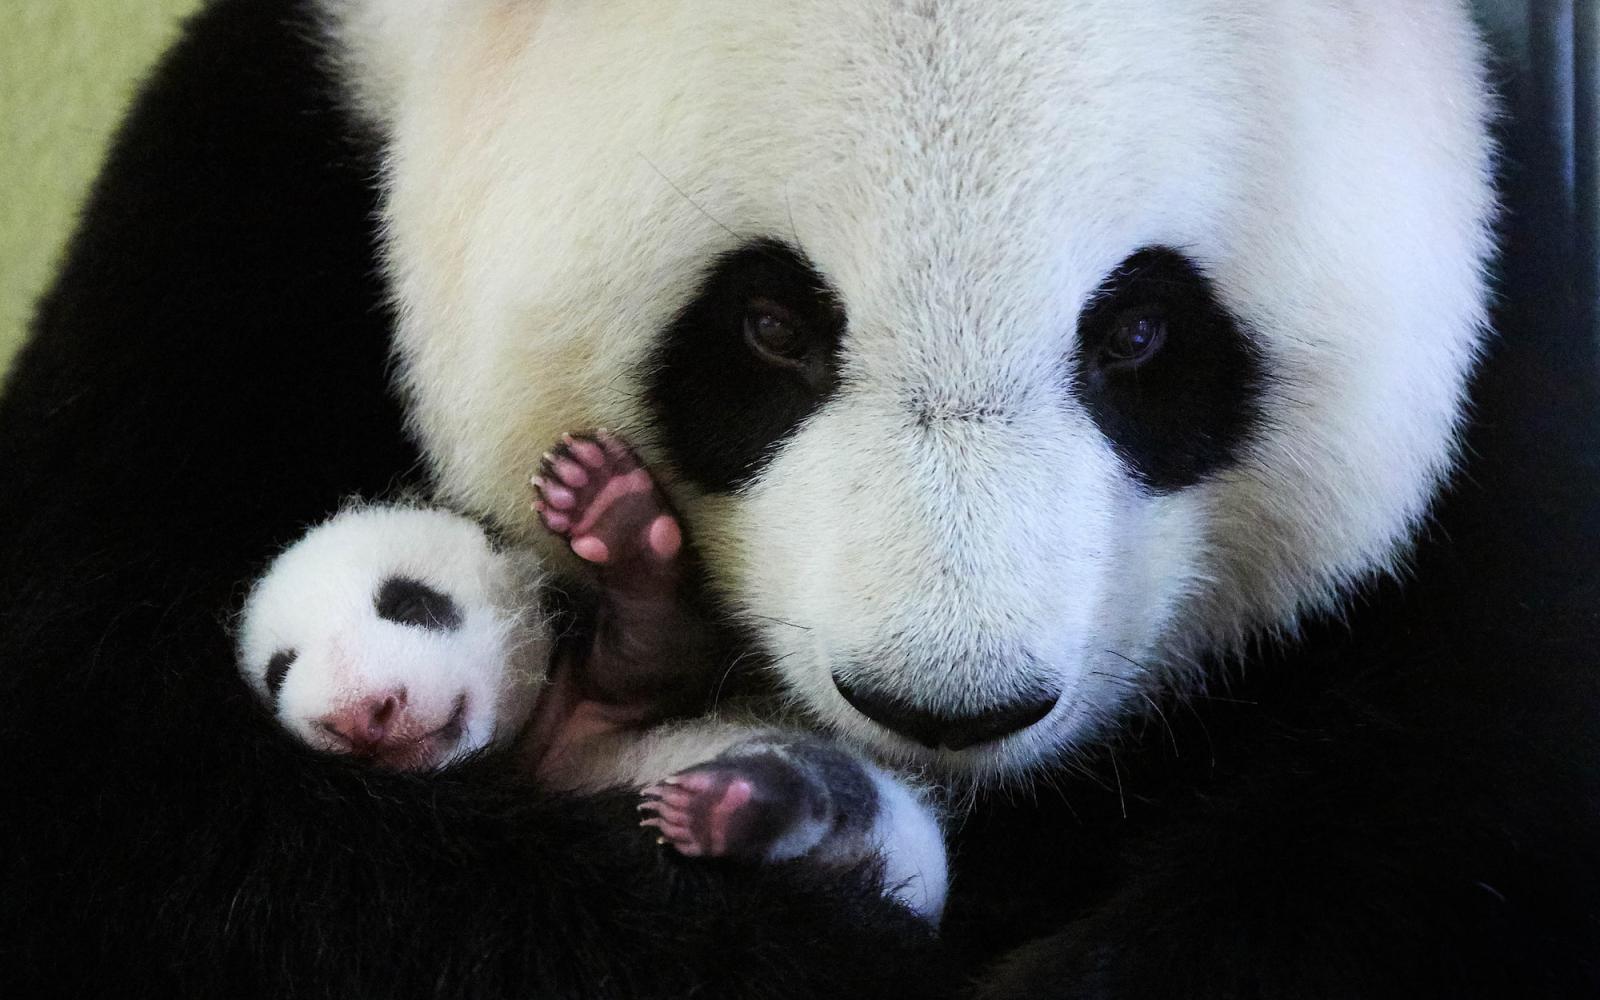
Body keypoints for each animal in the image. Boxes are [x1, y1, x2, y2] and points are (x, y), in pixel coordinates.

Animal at [3, 0, 1598, 998]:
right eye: (771, 323)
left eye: (1140, 332)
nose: (944, 704)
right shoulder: (245, 219)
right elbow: (172, 803)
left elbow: (1448, 806)